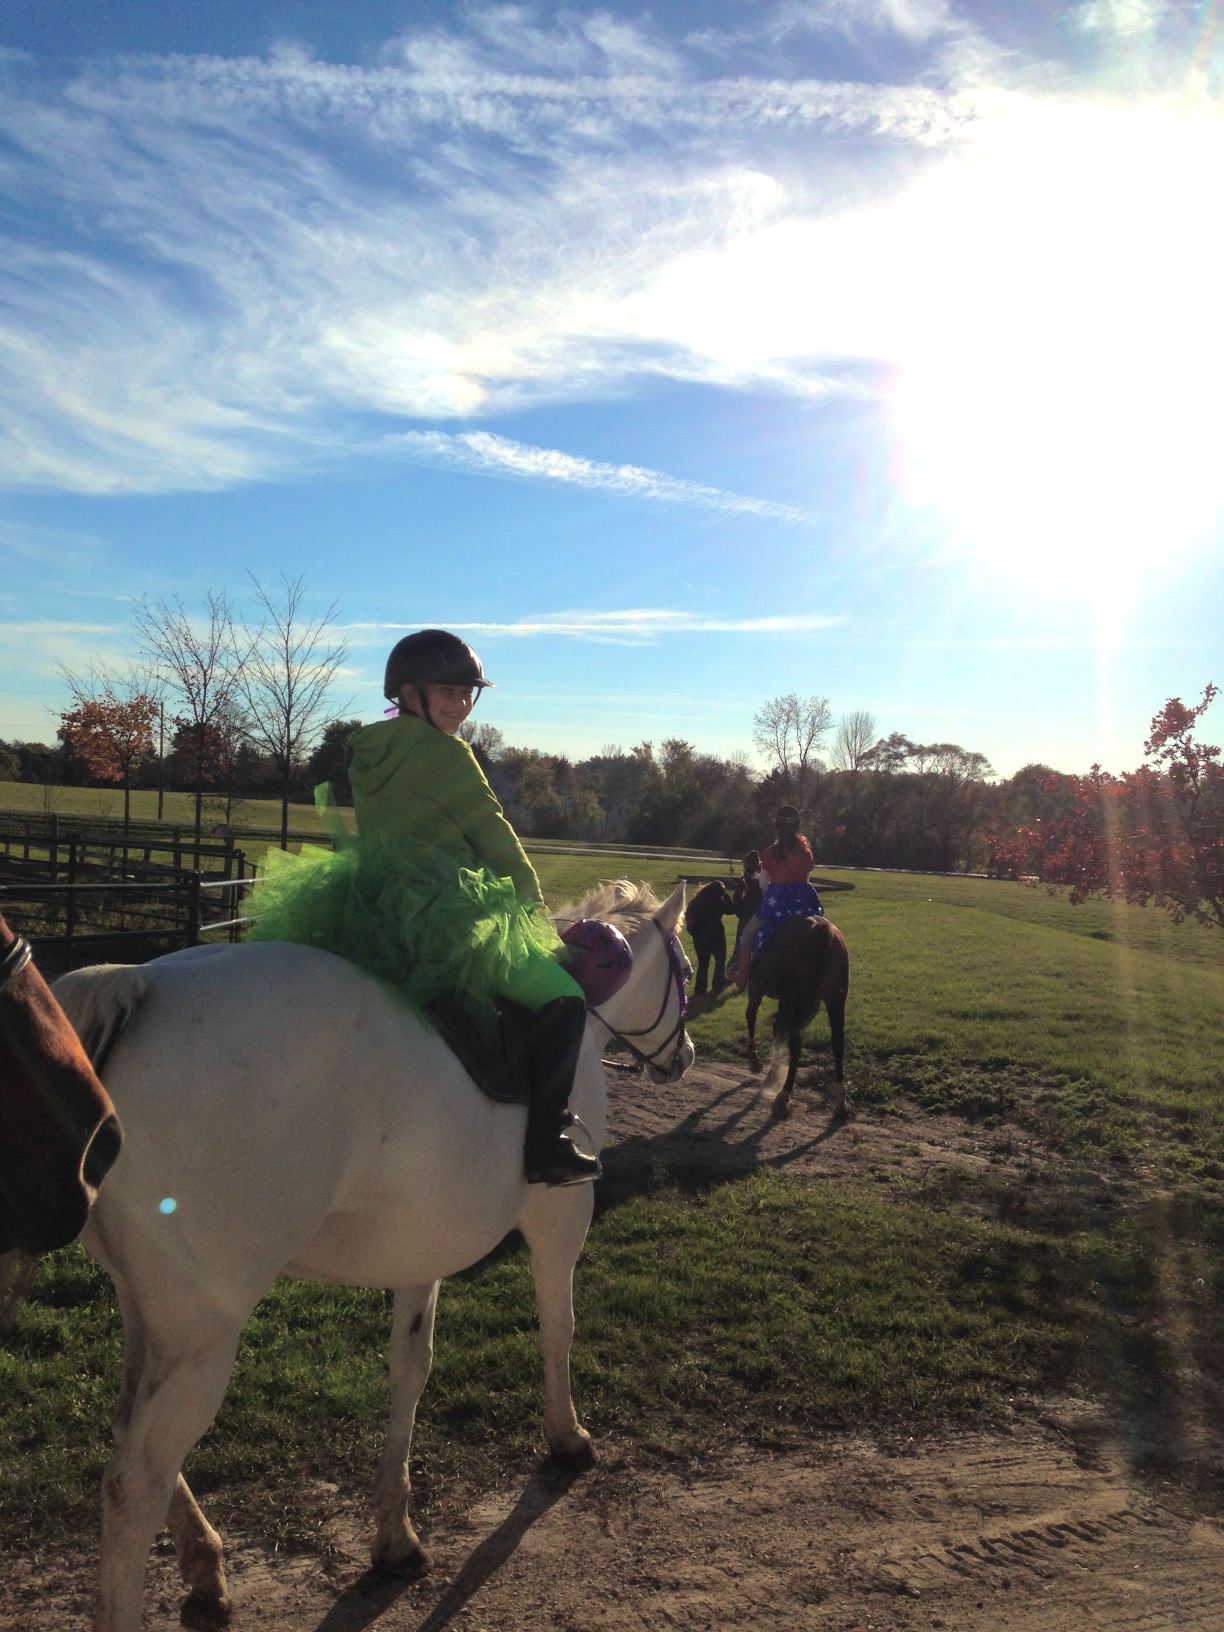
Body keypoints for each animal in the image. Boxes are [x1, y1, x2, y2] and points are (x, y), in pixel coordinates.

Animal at [50, 879, 692, 1632]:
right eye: (685, 968)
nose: (685, 1056)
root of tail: (142, 982)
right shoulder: (561, 1219)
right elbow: (558, 1328)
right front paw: (568, 1438)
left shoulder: (421, 1249)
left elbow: (410, 1370)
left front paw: (395, 1537)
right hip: (203, 1335)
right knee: (134, 1480)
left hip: (151, 1312)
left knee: (127, 1426)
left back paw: (205, 1565)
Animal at [744, 914, 849, 1120]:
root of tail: (823, 932)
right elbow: (777, 1031)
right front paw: (772, 1071)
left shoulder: (756, 988)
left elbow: (751, 1016)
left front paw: (755, 1061)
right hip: (834, 998)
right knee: (837, 1043)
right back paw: (840, 1103)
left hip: (793, 998)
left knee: (796, 1044)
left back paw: (783, 1095)